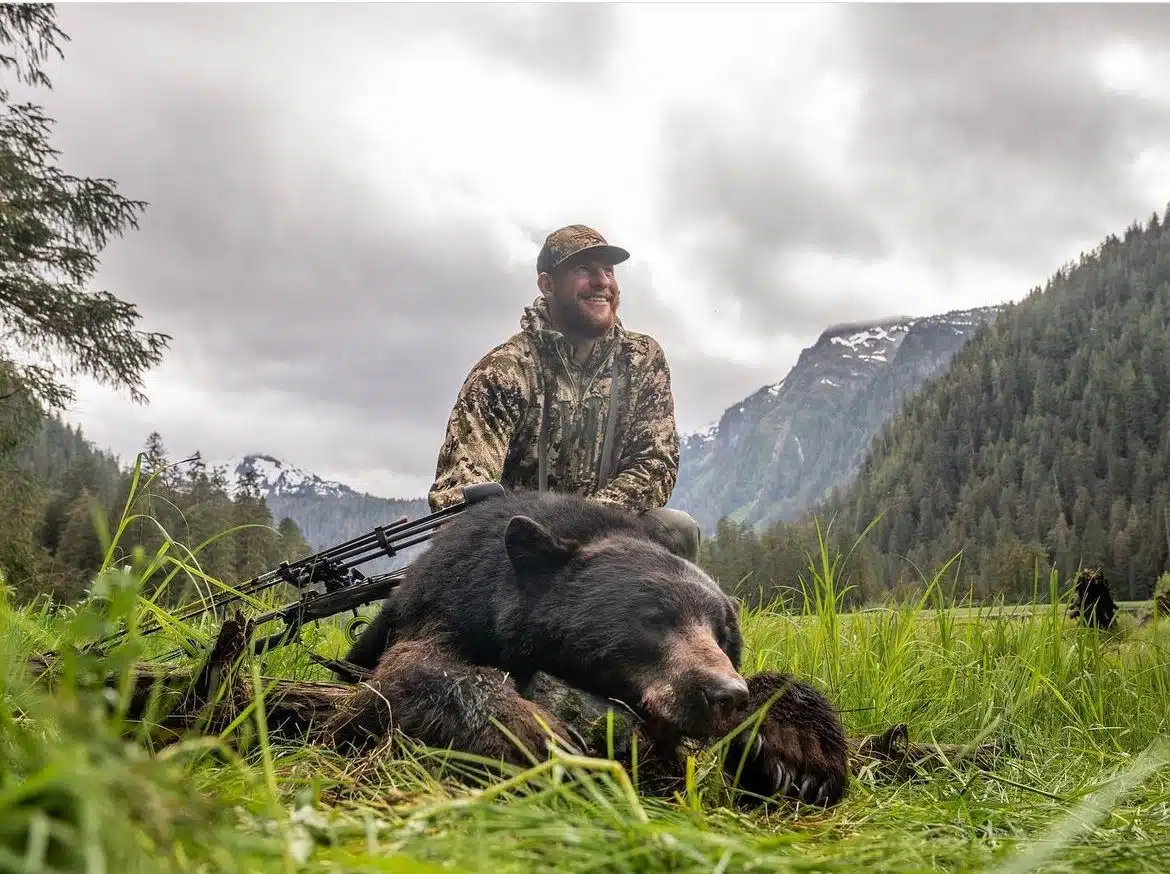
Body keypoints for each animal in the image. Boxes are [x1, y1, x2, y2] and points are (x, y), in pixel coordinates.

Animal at [329, 489, 851, 809]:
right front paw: (534, 733)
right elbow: (408, 672)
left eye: (724, 634)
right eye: (653, 618)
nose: (726, 695)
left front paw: (798, 753)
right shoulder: (451, 602)